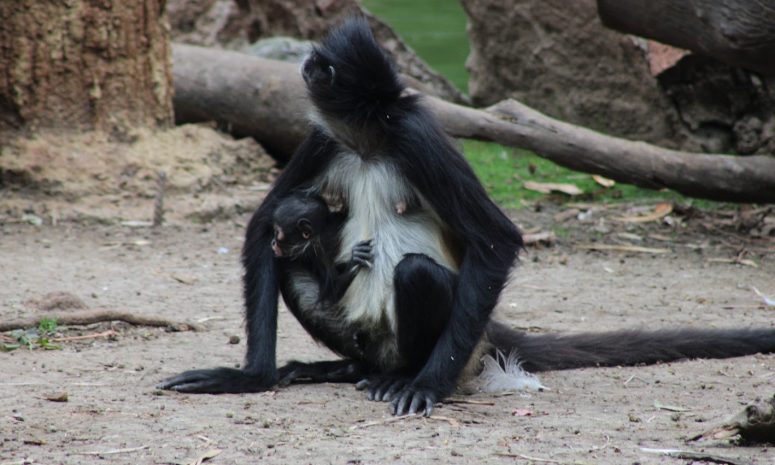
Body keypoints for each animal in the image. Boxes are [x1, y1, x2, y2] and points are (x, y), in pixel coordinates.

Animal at [159, 17, 775, 417]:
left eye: (322, 65)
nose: (306, 65)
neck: (371, 142)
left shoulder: (418, 136)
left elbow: (496, 240)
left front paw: (428, 388)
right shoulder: (324, 137)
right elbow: (266, 227)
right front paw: (250, 378)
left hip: (450, 340)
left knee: (414, 272)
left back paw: (402, 377)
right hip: (360, 333)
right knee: (291, 261)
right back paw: (347, 369)